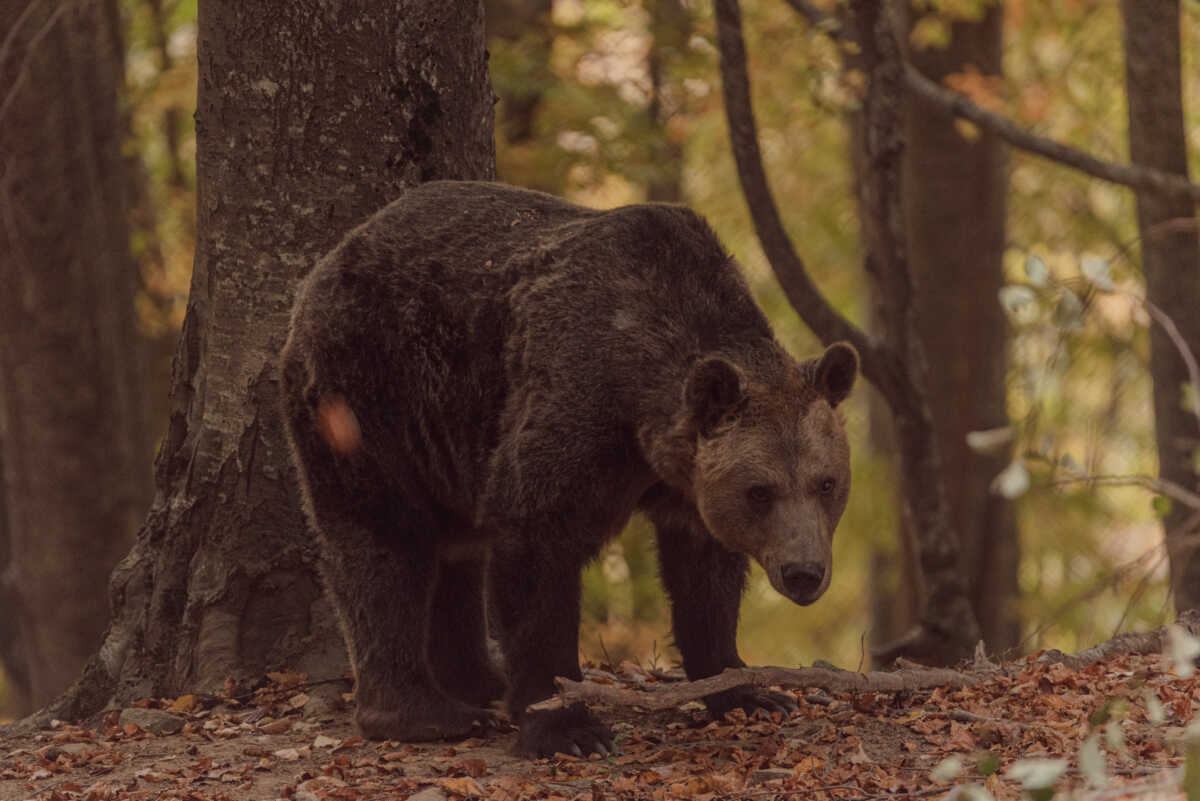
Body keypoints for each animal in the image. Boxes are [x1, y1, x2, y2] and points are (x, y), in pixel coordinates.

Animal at [282, 181, 859, 757]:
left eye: (826, 483)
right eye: (760, 491)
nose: (804, 572)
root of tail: (329, 261)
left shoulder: (689, 484)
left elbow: (705, 578)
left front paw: (748, 692)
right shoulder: (576, 407)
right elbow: (537, 550)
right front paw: (566, 725)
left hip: (449, 436)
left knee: (457, 552)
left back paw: (480, 681)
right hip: (370, 392)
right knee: (383, 539)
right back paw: (427, 712)